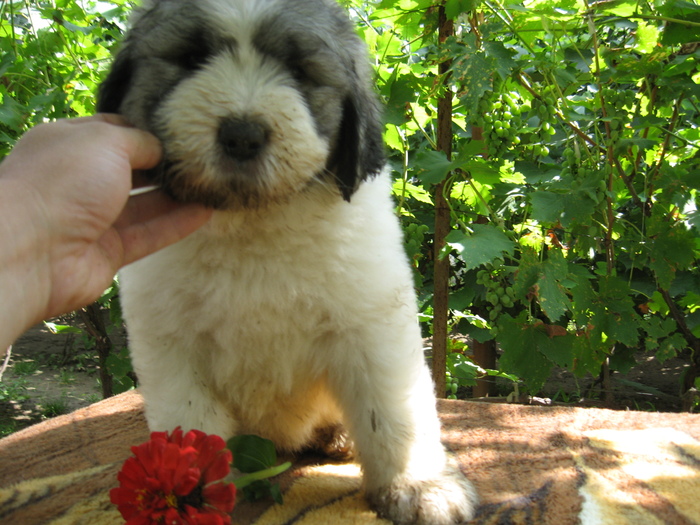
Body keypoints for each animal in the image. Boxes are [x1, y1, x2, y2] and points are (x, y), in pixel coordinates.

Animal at [98, 1, 478, 520]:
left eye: (299, 70)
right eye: (192, 57)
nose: (241, 135)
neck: (254, 220)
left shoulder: (371, 323)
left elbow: (391, 410)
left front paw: (419, 485)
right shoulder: (169, 338)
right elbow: (189, 417)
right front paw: (187, 491)